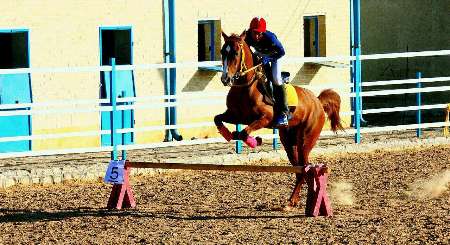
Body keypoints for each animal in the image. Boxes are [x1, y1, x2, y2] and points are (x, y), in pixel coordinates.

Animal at [214, 31, 344, 211]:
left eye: (235, 53)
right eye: (222, 52)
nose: (225, 79)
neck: (247, 86)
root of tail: (317, 101)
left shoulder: (265, 118)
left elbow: (244, 132)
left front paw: (255, 141)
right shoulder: (236, 116)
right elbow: (218, 119)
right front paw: (227, 134)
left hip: (305, 141)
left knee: (305, 167)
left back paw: (295, 201)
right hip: (289, 142)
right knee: (299, 169)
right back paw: (293, 201)